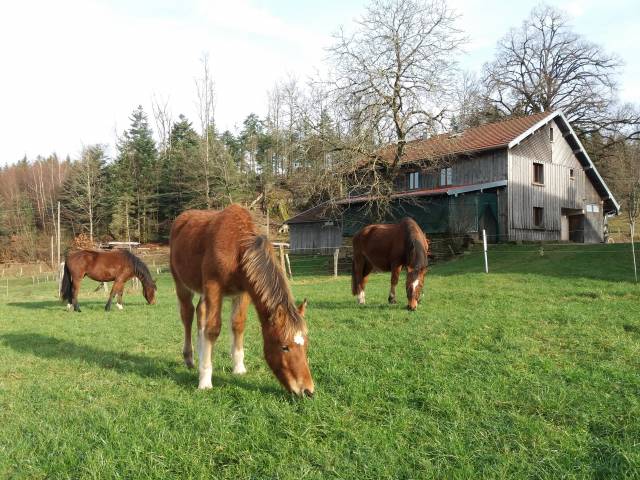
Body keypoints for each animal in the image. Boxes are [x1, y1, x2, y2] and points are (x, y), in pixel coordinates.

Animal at [168, 204, 312, 396]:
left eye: (306, 345)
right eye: (284, 346)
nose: (308, 390)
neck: (237, 247)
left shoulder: (243, 292)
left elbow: (238, 325)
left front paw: (238, 368)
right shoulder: (214, 287)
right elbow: (213, 329)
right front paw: (205, 380)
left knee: (200, 312)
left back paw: (200, 353)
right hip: (181, 283)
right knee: (187, 315)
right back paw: (190, 358)